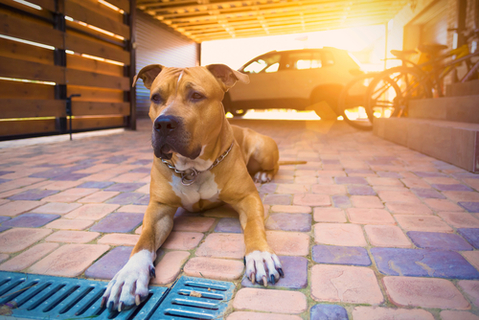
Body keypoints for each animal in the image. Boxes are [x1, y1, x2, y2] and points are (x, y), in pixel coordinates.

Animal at [101, 63, 282, 312]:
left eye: (196, 95)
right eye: (156, 97)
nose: (163, 123)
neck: (193, 168)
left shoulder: (248, 198)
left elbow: (254, 226)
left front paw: (260, 256)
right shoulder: (159, 209)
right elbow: (143, 241)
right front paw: (129, 276)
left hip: (262, 148)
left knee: (275, 165)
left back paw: (264, 174)